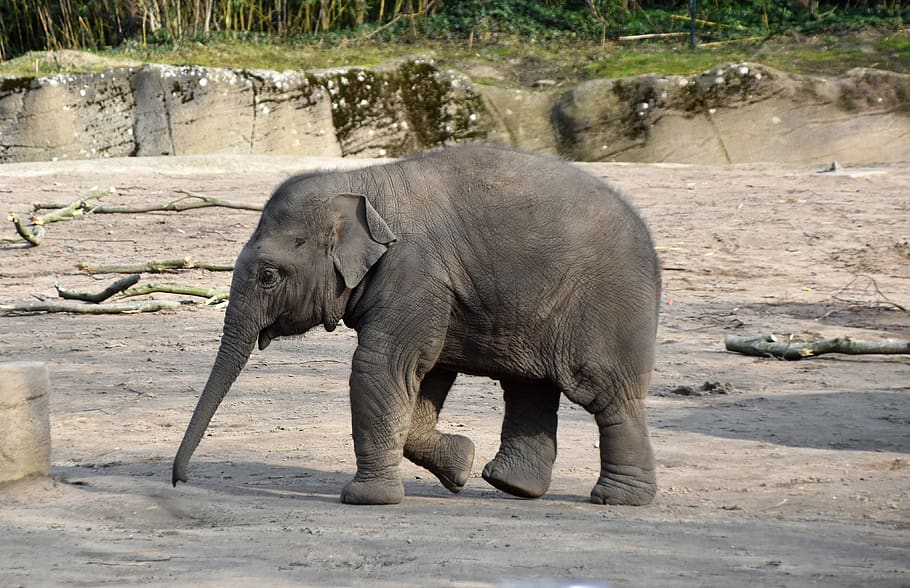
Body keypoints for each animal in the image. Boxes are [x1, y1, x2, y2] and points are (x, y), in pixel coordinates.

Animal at [172, 145, 661, 506]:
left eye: (269, 276)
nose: (179, 481)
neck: (360, 184)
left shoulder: (414, 271)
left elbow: (382, 364)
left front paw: (366, 499)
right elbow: (422, 375)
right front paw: (460, 466)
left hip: (608, 308)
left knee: (607, 394)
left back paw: (616, 500)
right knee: (531, 388)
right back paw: (511, 485)